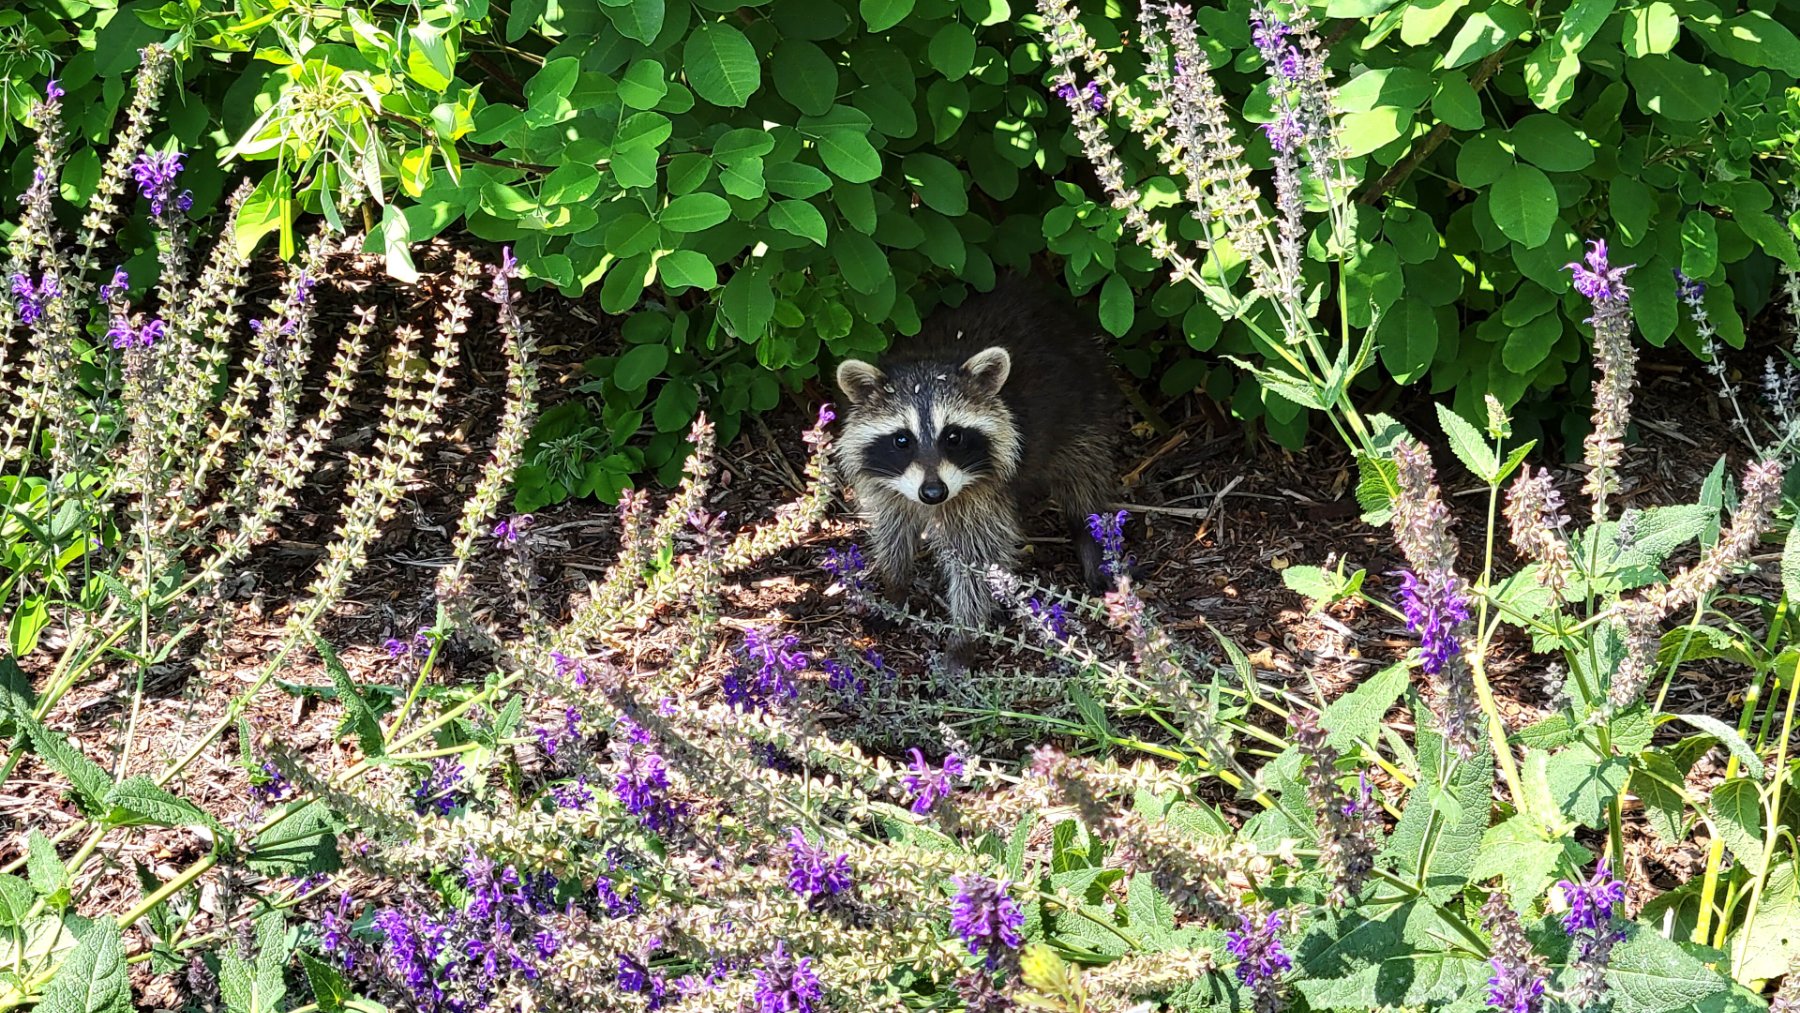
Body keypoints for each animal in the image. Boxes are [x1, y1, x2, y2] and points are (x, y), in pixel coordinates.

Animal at [832, 278, 1126, 639]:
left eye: (953, 437)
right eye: (902, 440)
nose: (934, 493)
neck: (928, 362)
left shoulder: (982, 496)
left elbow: (977, 560)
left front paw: (964, 635)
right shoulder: (888, 488)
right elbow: (892, 533)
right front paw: (894, 587)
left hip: (1085, 406)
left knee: (1083, 479)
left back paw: (1090, 538)